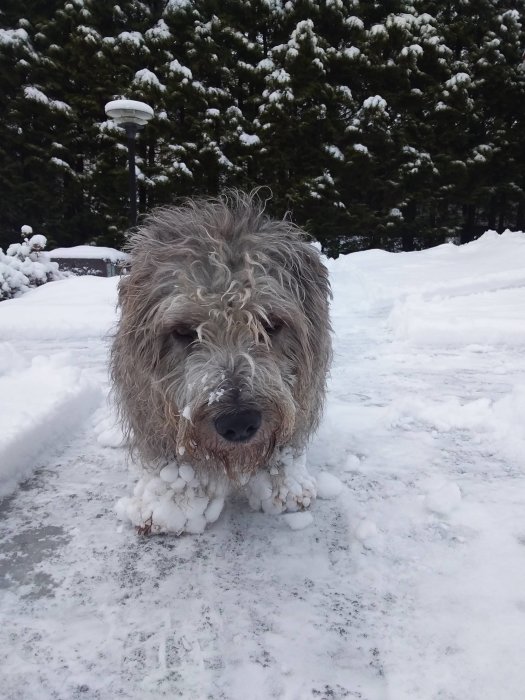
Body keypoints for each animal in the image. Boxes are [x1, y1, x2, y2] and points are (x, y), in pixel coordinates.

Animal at [111, 191, 332, 536]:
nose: (239, 422)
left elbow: (285, 443)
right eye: (183, 331)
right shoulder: (147, 398)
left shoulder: (303, 393)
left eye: (270, 324)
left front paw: (286, 489)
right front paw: (173, 507)